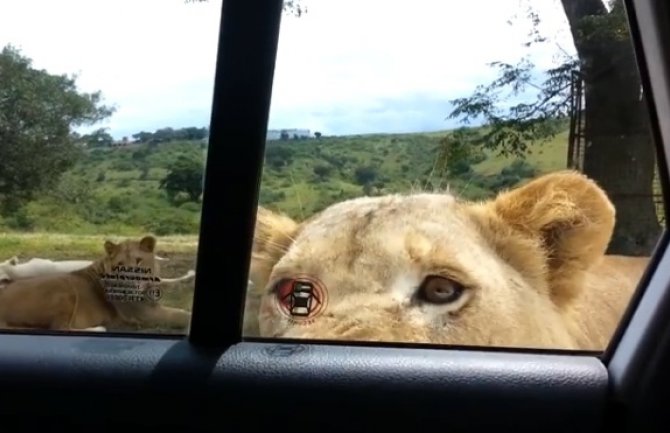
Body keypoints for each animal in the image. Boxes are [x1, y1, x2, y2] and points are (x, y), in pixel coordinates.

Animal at [0, 236, 192, 330]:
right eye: (120, 265)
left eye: (138, 261)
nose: (131, 283)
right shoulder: (145, 313)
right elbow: (181, 316)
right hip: (64, 289)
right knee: (59, 328)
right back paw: (100, 328)